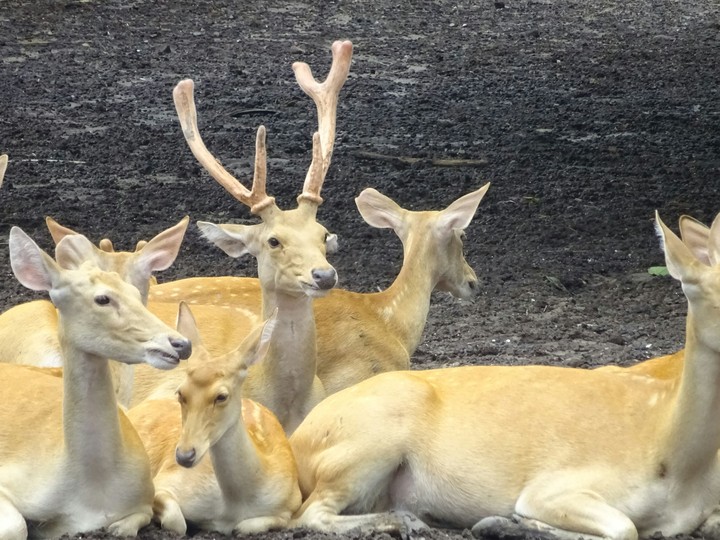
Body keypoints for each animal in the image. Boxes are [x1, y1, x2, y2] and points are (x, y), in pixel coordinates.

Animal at [128, 304, 301, 534]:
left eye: (221, 396)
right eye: (181, 393)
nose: (184, 455)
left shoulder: (292, 501)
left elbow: (249, 526)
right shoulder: (164, 482)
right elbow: (177, 522)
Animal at [288, 211, 720, 540]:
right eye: (709, 293)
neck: (671, 462)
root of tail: (298, 442)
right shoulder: (555, 485)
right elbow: (623, 528)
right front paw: (507, 522)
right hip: (363, 444)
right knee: (310, 514)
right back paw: (408, 522)